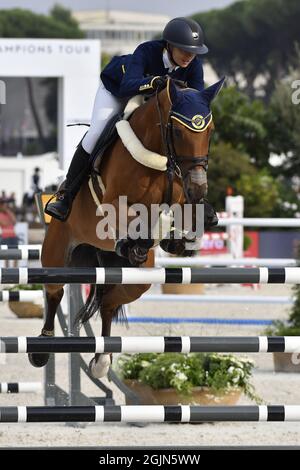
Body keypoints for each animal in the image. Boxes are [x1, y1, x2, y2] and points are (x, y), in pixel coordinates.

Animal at [28, 77, 225, 378]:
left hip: (136, 280)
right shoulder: (114, 203)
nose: (199, 187)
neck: (159, 156)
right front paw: (140, 238)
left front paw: (177, 237)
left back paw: (101, 360)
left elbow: (179, 214)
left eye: (210, 132)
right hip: (57, 252)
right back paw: (42, 349)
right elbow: (137, 217)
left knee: (109, 301)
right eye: (178, 133)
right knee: (54, 291)